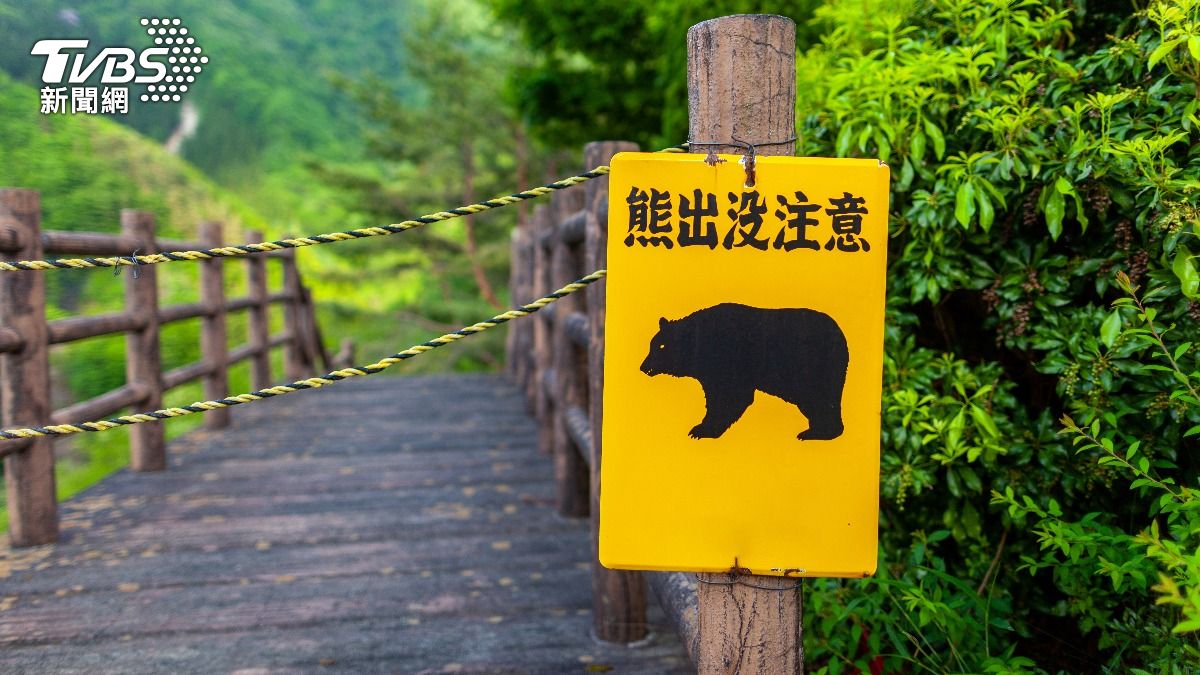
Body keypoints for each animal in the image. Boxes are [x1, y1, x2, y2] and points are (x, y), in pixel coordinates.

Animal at [639, 303, 848, 441]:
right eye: (652, 344)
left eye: (661, 346)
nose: (643, 366)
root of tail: (841, 334)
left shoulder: (728, 362)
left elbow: (730, 396)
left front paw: (701, 429)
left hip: (813, 368)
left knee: (820, 399)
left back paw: (817, 433)